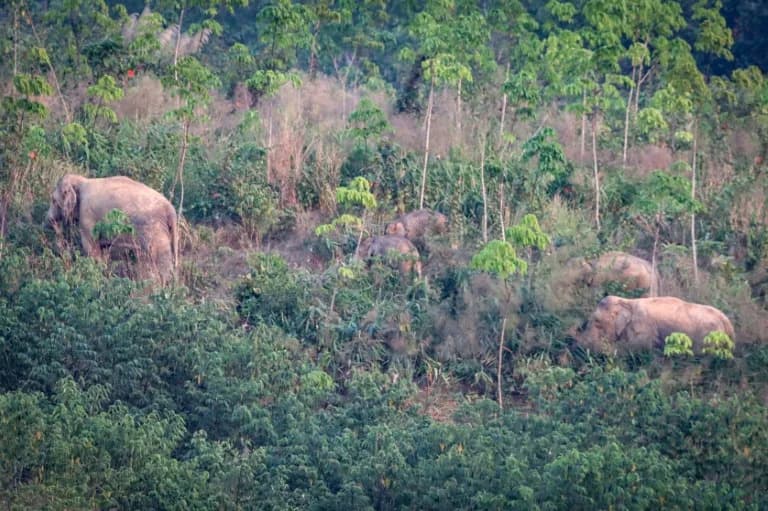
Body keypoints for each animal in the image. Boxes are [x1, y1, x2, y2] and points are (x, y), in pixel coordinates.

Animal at [45, 174, 179, 284]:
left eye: (53, 200)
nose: (49, 220)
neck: (82, 180)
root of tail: (170, 210)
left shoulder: (87, 216)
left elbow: (91, 248)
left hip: (153, 229)